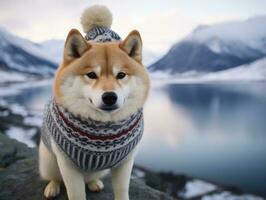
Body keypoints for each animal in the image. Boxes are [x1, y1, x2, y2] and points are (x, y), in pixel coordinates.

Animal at [38, 4, 150, 200]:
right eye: (91, 74)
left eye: (121, 75)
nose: (110, 97)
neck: (103, 129)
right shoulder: (68, 165)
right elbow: (76, 194)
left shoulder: (125, 162)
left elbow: (122, 191)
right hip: (49, 161)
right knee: (54, 177)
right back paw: (52, 187)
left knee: (90, 178)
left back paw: (94, 183)